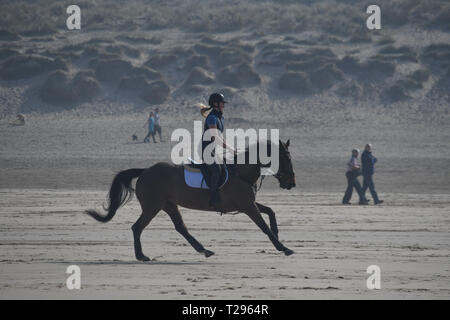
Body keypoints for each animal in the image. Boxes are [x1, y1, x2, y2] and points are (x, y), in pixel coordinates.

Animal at [85, 139, 296, 262]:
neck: (241, 172)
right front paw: (283, 247)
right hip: (152, 207)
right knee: (137, 227)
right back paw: (142, 256)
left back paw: (204, 250)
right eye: (285, 158)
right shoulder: (247, 206)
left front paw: (278, 234)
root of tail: (145, 171)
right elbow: (263, 226)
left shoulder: (247, 204)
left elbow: (270, 212)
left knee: (181, 228)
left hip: (168, 205)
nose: (291, 183)